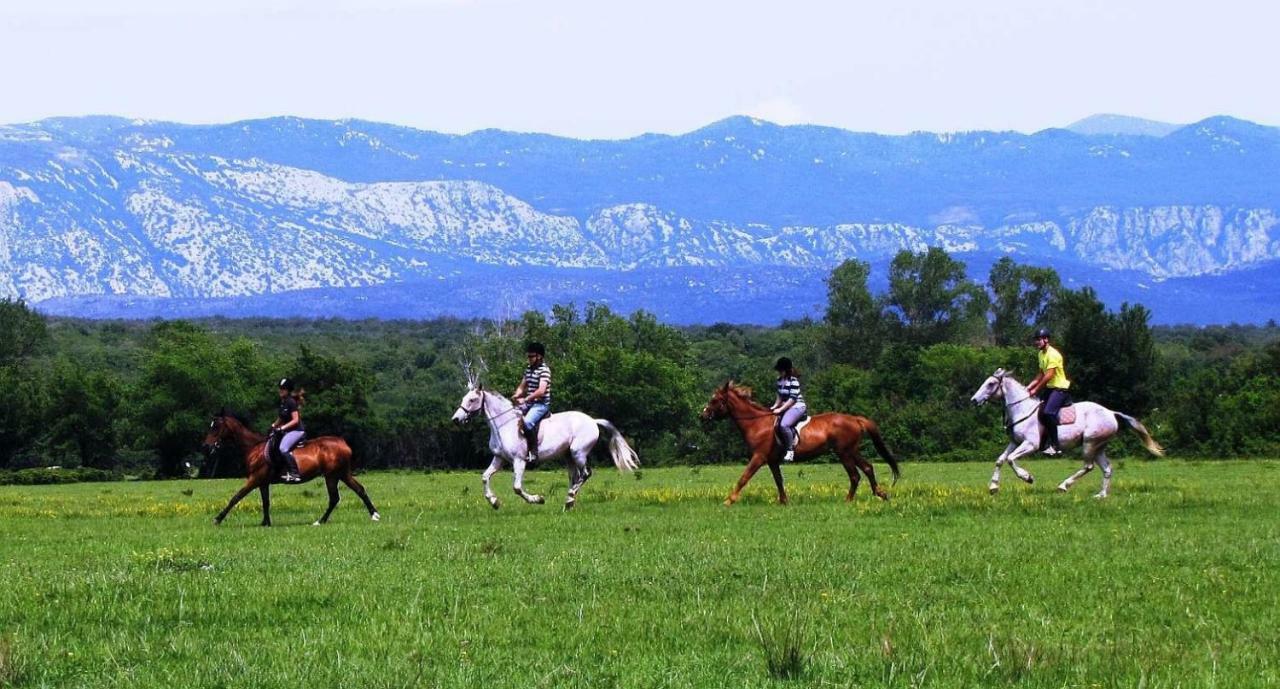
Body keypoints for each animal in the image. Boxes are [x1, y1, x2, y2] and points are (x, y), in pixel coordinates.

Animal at [200, 407, 378, 525]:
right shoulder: (263, 482)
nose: (206, 446)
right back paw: (373, 514)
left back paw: (320, 521)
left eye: (216, 427)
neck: (254, 448)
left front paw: (218, 518)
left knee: (335, 497)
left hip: (332, 476)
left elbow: (236, 497)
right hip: (342, 474)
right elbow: (266, 502)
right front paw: (265, 522)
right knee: (358, 490)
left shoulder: (254, 479)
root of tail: (343, 443)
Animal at [450, 381, 640, 509]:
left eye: (472, 400)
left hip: (578, 453)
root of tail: (592, 420)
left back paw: (570, 498)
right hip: (568, 456)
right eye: (464, 398)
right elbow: (485, 477)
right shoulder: (499, 458)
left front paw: (538, 499)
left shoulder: (519, 461)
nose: (456, 419)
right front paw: (494, 502)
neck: (504, 425)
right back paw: (569, 503)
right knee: (575, 477)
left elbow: (517, 487)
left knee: (585, 474)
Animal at [701, 381, 901, 504]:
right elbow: (779, 480)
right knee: (867, 468)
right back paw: (880, 494)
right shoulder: (772, 461)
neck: (757, 423)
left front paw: (729, 500)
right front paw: (784, 502)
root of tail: (855, 419)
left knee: (855, 475)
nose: (702, 415)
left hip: (844, 452)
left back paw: (848, 500)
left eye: (715, 400)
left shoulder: (759, 457)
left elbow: (744, 477)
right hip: (852, 451)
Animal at [967, 366, 1162, 496]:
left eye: (991, 383)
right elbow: (1000, 460)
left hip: (1089, 443)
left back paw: (1063, 486)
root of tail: (1111, 413)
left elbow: (1011, 459)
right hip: (1099, 446)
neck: (1022, 409)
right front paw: (993, 487)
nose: (974, 400)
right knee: (1107, 469)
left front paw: (1027, 477)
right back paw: (1101, 495)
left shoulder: (1030, 444)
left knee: (1088, 466)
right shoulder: (1015, 442)